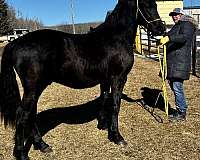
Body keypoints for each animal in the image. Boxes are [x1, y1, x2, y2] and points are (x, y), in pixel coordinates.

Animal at [0, 0, 165, 159]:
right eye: (145, 4)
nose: (161, 28)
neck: (116, 37)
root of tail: (14, 43)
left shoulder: (105, 80)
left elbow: (104, 98)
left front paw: (102, 125)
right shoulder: (118, 78)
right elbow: (115, 106)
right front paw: (117, 137)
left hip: (36, 88)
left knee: (31, 114)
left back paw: (42, 145)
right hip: (33, 87)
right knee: (23, 114)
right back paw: (21, 153)